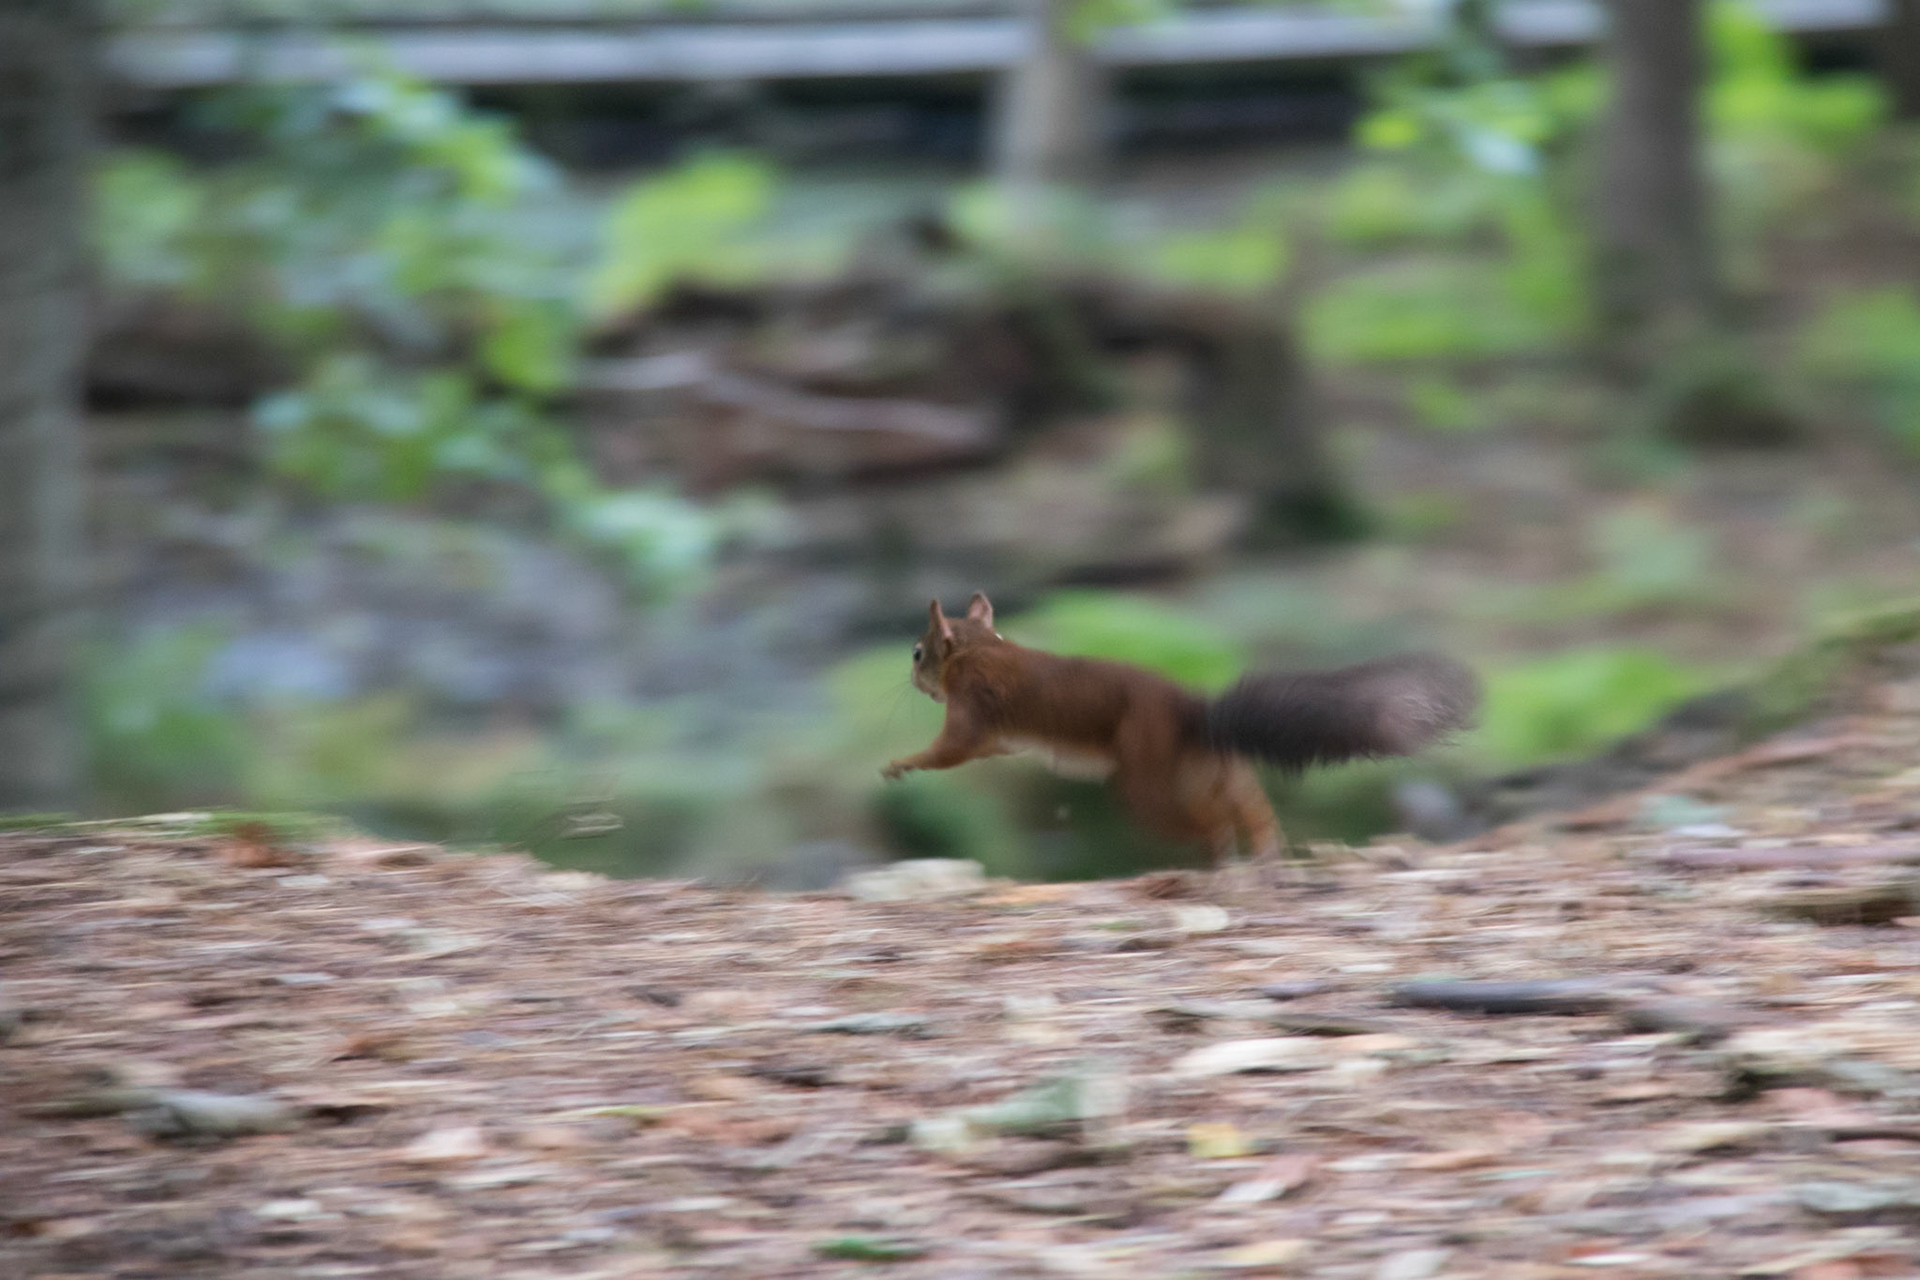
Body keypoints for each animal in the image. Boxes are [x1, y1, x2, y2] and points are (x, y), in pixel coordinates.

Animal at [881, 593, 1480, 866]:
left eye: (917, 653)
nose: (910, 678)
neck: (979, 650)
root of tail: (1199, 717)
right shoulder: (998, 736)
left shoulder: (971, 709)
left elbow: (950, 749)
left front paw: (897, 764)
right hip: (1217, 771)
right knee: (1250, 810)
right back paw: (1266, 853)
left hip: (1150, 785)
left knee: (1211, 822)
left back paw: (1224, 855)